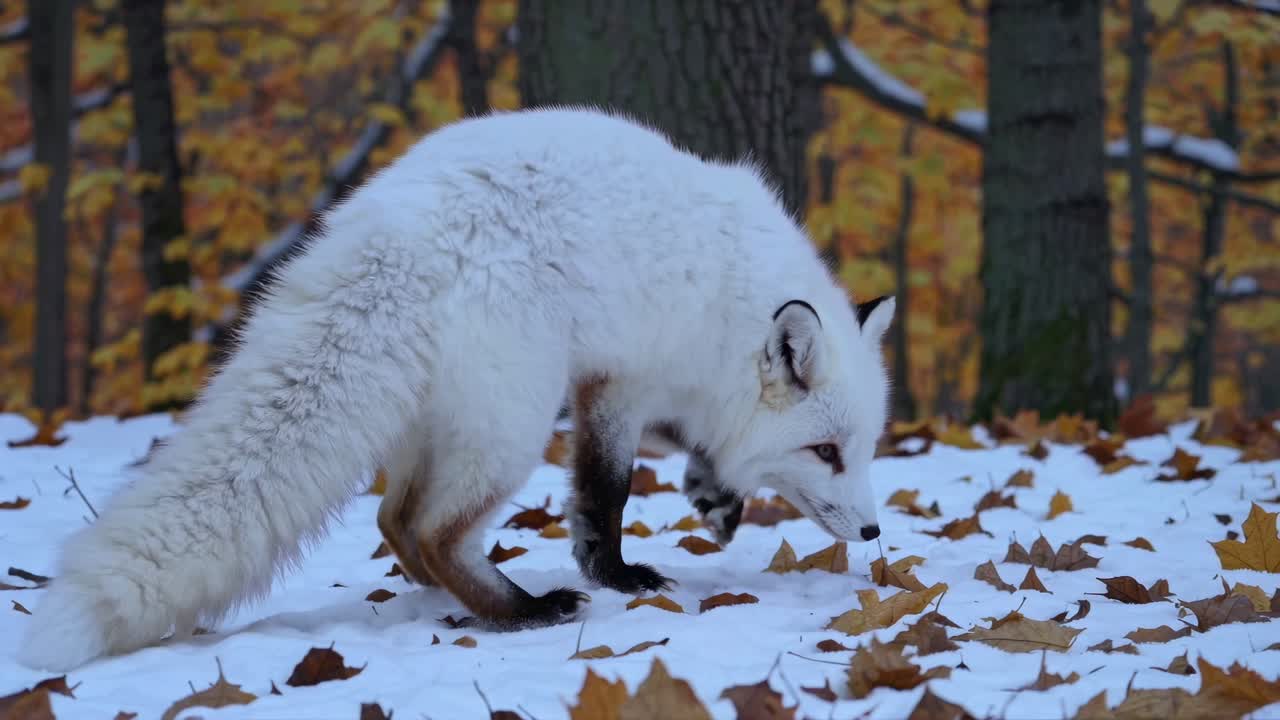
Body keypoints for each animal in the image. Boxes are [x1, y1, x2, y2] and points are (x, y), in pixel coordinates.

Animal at [17, 107, 894, 672]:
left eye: (861, 451)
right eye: (825, 451)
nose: (875, 532)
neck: (728, 295)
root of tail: (390, 228)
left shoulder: (624, 381)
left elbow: (675, 458)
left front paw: (713, 494)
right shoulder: (620, 379)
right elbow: (605, 491)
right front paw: (615, 576)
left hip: (441, 424)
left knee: (393, 520)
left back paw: (441, 594)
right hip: (515, 421)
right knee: (433, 529)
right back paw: (522, 612)